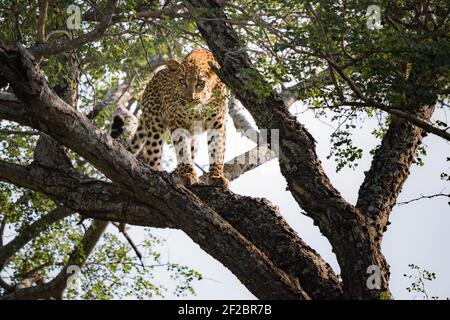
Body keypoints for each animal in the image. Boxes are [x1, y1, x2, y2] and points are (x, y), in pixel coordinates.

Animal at [128, 47, 230, 188]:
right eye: (182, 81)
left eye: (200, 83)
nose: (189, 99)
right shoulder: (177, 122)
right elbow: (182, 149)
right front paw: (188, 175)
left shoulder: (218, 124)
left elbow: (217, 150)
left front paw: (217, 177)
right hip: (155, 125)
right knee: (153, 152)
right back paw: (156, 172)